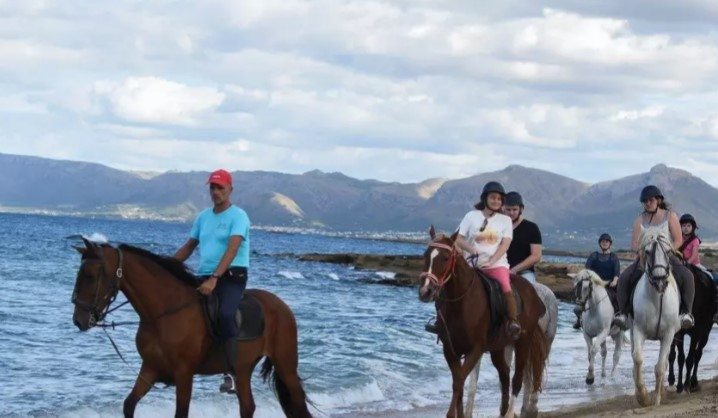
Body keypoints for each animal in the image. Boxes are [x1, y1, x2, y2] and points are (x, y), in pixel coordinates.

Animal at [69, 238, 312, 418]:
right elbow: (129, 404)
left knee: (297, 403)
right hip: (244, 369)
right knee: (247, 406)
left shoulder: (184, 374)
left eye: (91, 276)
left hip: (286, 366)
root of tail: (282, 306)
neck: (163, 314)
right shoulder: (150, 368)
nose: (79, 319)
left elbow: (181, 413)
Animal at [420, 230, 548, 416]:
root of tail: (533, 291)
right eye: (425, 255)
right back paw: (503, 410)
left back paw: (509, 413)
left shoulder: (476, 349)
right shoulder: (451, 349)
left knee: (517, 379)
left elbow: (459, 380)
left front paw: (451, 414)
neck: (461, 302)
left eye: (445, 257)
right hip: (498, 347)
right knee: (504, 374)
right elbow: (458, 381)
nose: (425, 291)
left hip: (523, 343)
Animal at [632, 230, 684, 406]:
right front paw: (642, 396)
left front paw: (656, 399)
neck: (656, 297)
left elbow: (660, 366)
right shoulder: (638, 330)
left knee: (666, 361)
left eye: (668, 251)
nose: (660, 280)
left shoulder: (668, 334)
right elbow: (638, 358)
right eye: (647, 252)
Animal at [668, 266, 718, 394]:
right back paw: (672, 380)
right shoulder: (679, 333)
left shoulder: (697, 332)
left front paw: (686, 385)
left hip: (705, 332)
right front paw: (679, 385)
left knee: (698, 354)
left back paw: (693, 382)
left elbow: (690, 358)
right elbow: (680, 358)